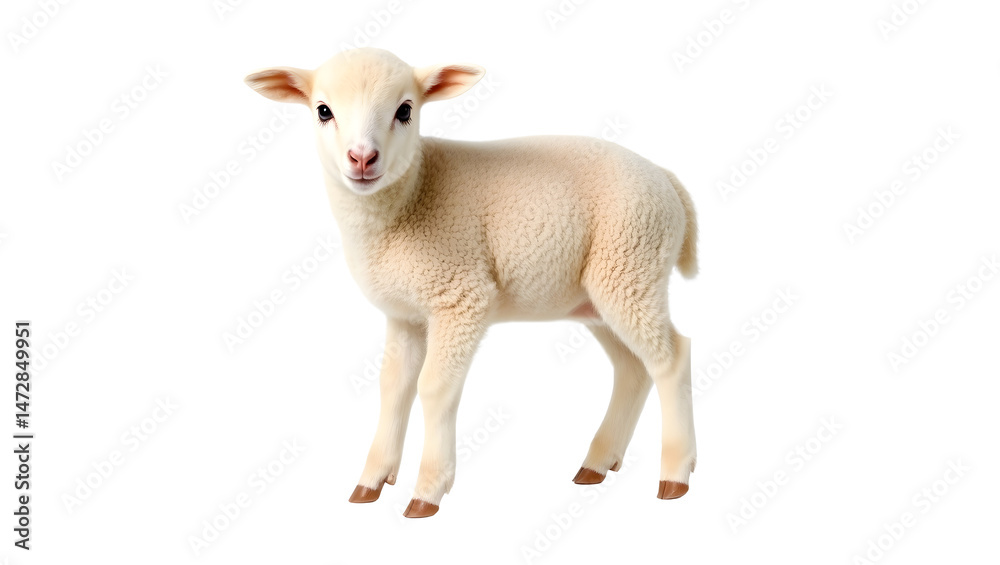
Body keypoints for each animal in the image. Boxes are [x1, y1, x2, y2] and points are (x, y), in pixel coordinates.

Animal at [244, 47, 699, 518]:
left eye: (405, 110)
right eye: (323, 111)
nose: (362, 158)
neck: (413, 195)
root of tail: (666, 179)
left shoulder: (461, 296)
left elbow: (433, 388)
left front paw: (427, 490)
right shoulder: (404, 314)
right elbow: (393, 387)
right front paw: (372, 481)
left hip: (632, 264)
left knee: (672, 358)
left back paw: (675, 475)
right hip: (600, 294)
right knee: (633, 368)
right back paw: (598, 463)